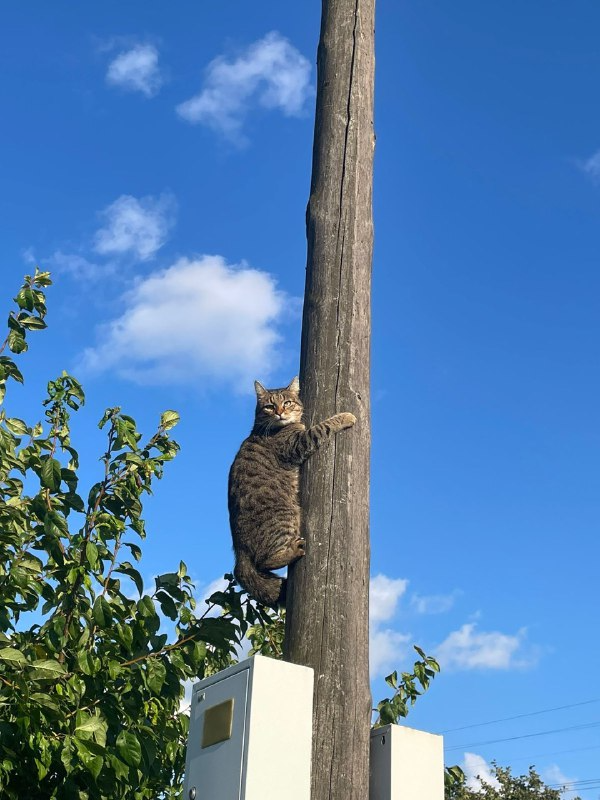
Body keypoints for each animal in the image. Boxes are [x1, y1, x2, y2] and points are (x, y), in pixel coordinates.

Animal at [227, 378, 354, 604]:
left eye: (287, 403)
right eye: (269, 406)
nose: (279, 412)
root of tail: (239, 551)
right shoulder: (298, 443)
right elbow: (324, 426)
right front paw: (346, 416)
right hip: (286, 516)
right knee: (265, 560)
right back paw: (293, 551)